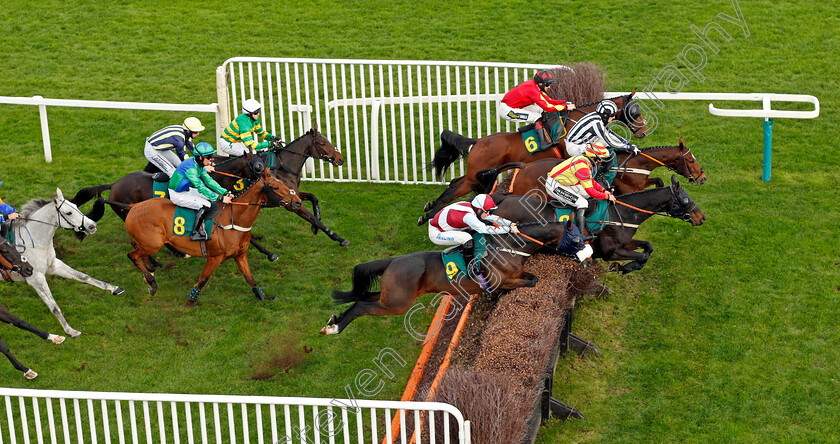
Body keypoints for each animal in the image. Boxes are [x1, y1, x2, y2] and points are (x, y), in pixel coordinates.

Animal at [5, 187, 124, 336]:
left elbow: (83, 276)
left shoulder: (54, 265)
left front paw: (113, 288)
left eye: (76, 206)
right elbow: (54, 306)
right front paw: (70, 330)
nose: (92, 226)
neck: (33, 240)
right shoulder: (35, 278)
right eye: (69, 212)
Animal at [124, 166, 302, 302]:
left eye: (284, 183)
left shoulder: (240, 255)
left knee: (137, 251)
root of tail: (134, 207)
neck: (233, 219)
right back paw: (152, 282)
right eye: (276, 187)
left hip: (147, 243)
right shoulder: (215, 257)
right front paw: (192, 299)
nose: (298, 202)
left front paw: (263, 296)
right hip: (152, 244)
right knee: (132, 254)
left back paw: (149, 274)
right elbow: (203, 279)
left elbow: (250, 277)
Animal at [318, 220, 568, 334]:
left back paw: (333, 322)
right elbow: (529, 282)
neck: (508, 246)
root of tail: (392, 260)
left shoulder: (517, 273)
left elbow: (532, 278)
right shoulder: (503, 279)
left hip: (389, 296)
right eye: (572, 237)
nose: (579, 257)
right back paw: (335, 328)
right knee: (362, 305)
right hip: (397, 303)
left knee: (363, 298)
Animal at [416, 93, 648, 225]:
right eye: (634, 112)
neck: (577, 120)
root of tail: (478, 141)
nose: (643, 132)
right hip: (476, 176)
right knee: (454, 189)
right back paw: (428, 215)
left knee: (454, 183)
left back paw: (428, 210)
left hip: (476, 174)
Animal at [476, 137, 704, 198]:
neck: (636, 165)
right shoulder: (629, 189)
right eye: (691, 161)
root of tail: (523, 166)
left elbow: (659, 181)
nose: (702, 178)